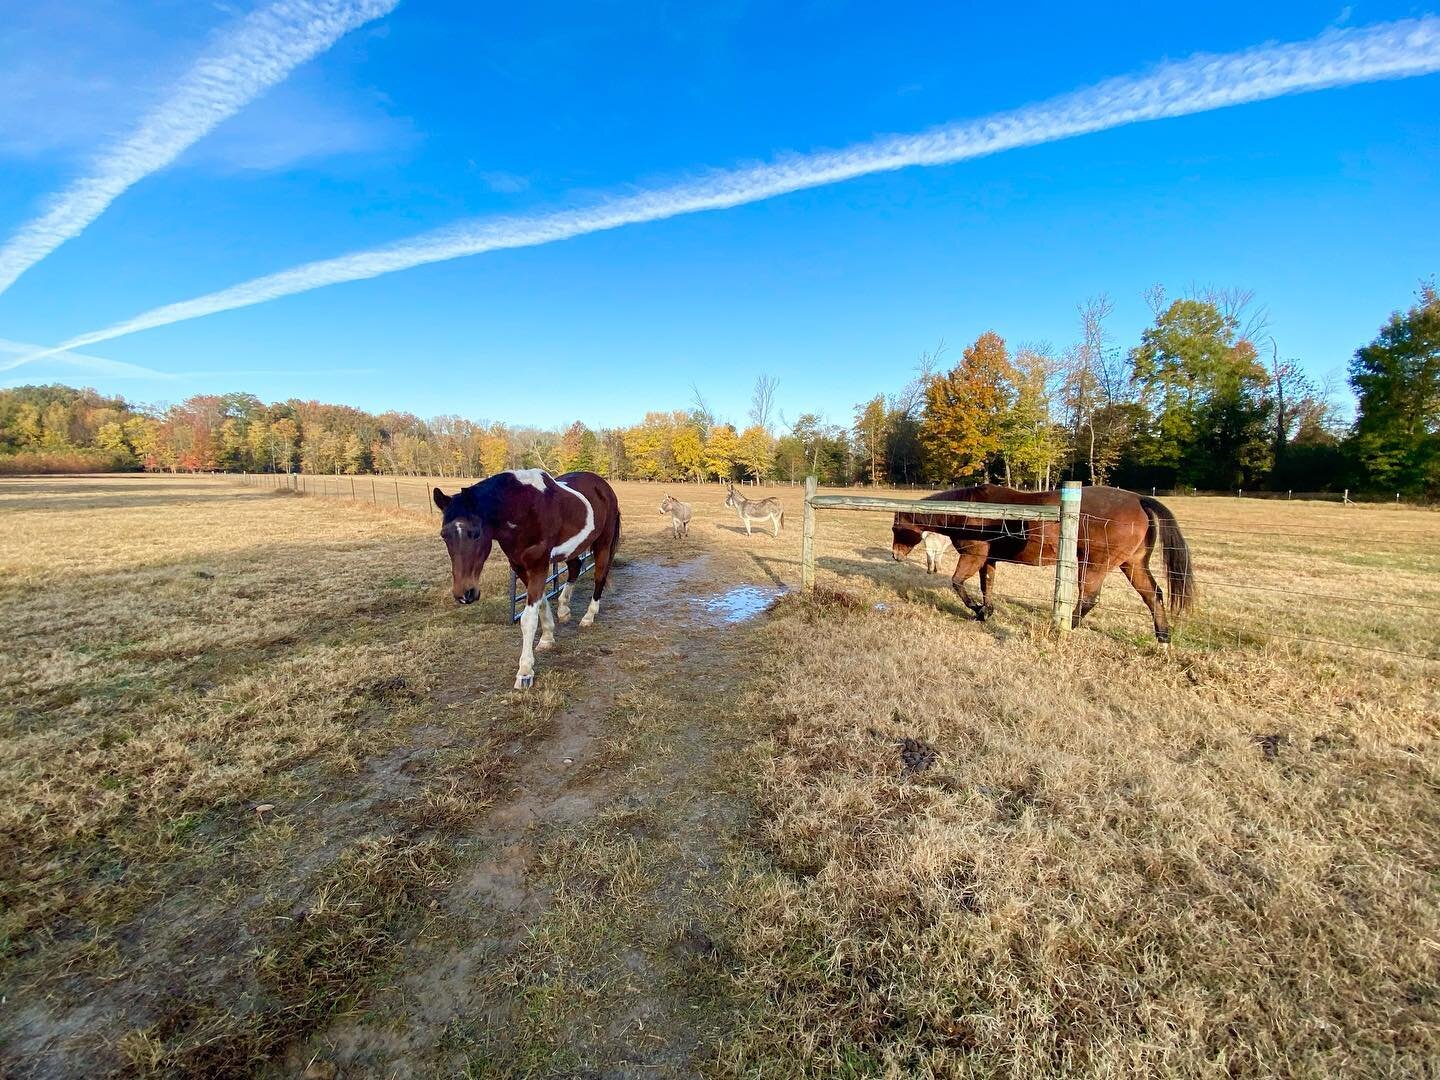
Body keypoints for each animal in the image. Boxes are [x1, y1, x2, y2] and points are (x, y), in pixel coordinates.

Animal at [434, 469, 622, 688]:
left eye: (476, 533)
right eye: (444, 535)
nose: (465, 594)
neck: (523, 510)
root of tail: (603, 485)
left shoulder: (538, 564)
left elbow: (528, 618)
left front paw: (525, 671)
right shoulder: (520, 567)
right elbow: (541, 603)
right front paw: (547, 637)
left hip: (603, 542)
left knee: (600, 576)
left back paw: (588, 616)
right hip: (573, 549)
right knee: (575, 568)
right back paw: (564, 608)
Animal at [887, 489, 1192, 642]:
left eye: (896, 528)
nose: (895, 556)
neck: (971, 510)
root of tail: (1138, 499)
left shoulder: (973, 556)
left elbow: (958, 583)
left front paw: (976, 609)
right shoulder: (988, 560)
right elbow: (987, 586)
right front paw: (984, 612)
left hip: (1093, 564)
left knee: (1089, 598)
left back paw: (1063, 627)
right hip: (1132, 564)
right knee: (1153, 595)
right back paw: (1163, 636)